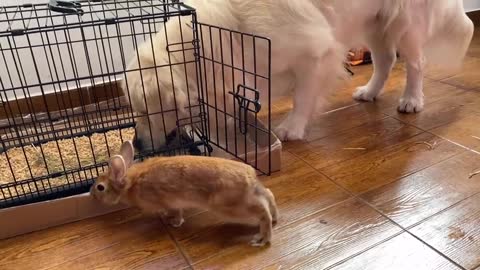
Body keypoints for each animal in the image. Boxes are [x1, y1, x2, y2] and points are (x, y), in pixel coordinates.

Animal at [90, 141, 278, 247]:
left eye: (100, 187)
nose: (92, 195)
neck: (130, 182)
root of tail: (250, 176)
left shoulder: (169, 202)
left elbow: (176, 212)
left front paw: (174, 222)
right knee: (269, 194)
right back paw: (275, 218)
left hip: (230, 206)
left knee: (263, 212)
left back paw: (262, 238)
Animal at [123, 0, 472, 151]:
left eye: (146, 112)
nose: (136, 143)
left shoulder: (314, 53)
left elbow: (303, 97)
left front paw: (292, 128)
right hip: (373, 22)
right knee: (385, 60)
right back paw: (369, 92)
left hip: (404, 22)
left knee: (416, 62)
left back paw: (411, 100)